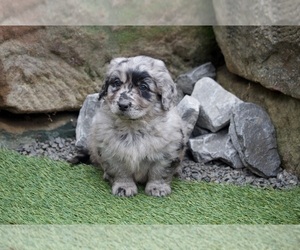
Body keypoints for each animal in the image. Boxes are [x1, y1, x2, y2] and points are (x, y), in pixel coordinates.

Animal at [88, 55, 185, 197]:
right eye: (116, 83)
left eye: (144, 87)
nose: (123, 104)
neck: (133, 127)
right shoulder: (112, 153)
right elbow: (120, 172)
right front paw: (124, 187)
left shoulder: (167, 153)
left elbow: (159, 172)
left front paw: (158, 188)